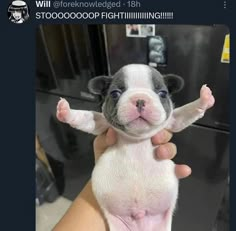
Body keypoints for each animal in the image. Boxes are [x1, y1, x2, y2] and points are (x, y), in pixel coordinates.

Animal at [56, 63, 214, 231]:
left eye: (163, 93)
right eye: (115, 94)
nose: (140, 100)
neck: (136, 140)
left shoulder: (173, 121)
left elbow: (187, 112)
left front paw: (204, 99)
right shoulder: (101, 124)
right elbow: (86, 118)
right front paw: (66, 111)